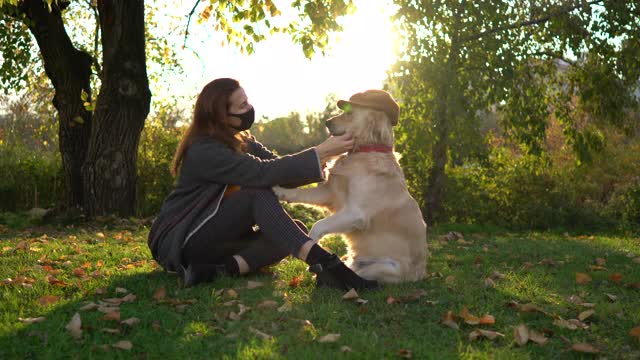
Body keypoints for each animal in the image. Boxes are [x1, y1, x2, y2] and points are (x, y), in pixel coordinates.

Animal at [272, 89, 428, 282]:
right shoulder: (329, 192)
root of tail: (419, 275)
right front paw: (279, 191)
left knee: (358, 275)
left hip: (386, 267)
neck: (363, 152)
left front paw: (312, 242)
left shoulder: (355, 213)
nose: (327, 122)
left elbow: (318, 225)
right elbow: (301, 194)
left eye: (348, 113)